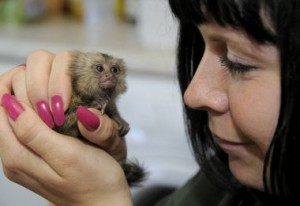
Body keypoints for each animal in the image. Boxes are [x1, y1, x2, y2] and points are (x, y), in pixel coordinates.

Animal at [54, 50, 147, 186]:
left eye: (114, 70)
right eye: (99, 68)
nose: (110, 76)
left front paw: (118, 118)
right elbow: (60, 124)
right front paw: (93, 104)